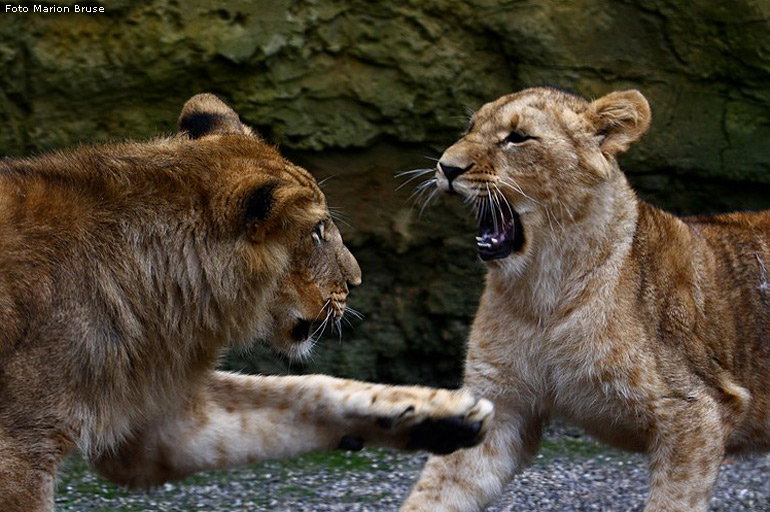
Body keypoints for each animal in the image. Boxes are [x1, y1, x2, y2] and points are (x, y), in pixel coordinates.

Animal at [0, 94, 492, 510]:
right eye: (317, 232)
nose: (356, 281)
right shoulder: (19, 454)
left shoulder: (153, 416)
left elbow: (301, 392)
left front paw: (439, 416)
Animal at [402, 88, 768, 512]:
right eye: (470, 128)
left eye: (517, 138)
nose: (446, 167)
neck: (542, 292)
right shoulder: (500, 401)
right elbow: (438, 490)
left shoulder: (698, 411)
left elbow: (673, 500)